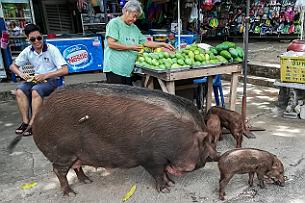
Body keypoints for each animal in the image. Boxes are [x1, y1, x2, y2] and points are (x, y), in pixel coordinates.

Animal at [27, 83, 216, 195]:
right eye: (205, 142)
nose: (214, 155)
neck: (180, 138)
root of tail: (39, 114)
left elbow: (164, 172)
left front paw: (173, 183)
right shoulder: (151, 158)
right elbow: (158, 174)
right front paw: (166, 190)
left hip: (76, 155)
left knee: (77, 167)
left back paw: (87, 181)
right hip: (62, 153)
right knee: (58, 171)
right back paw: (71, 193)